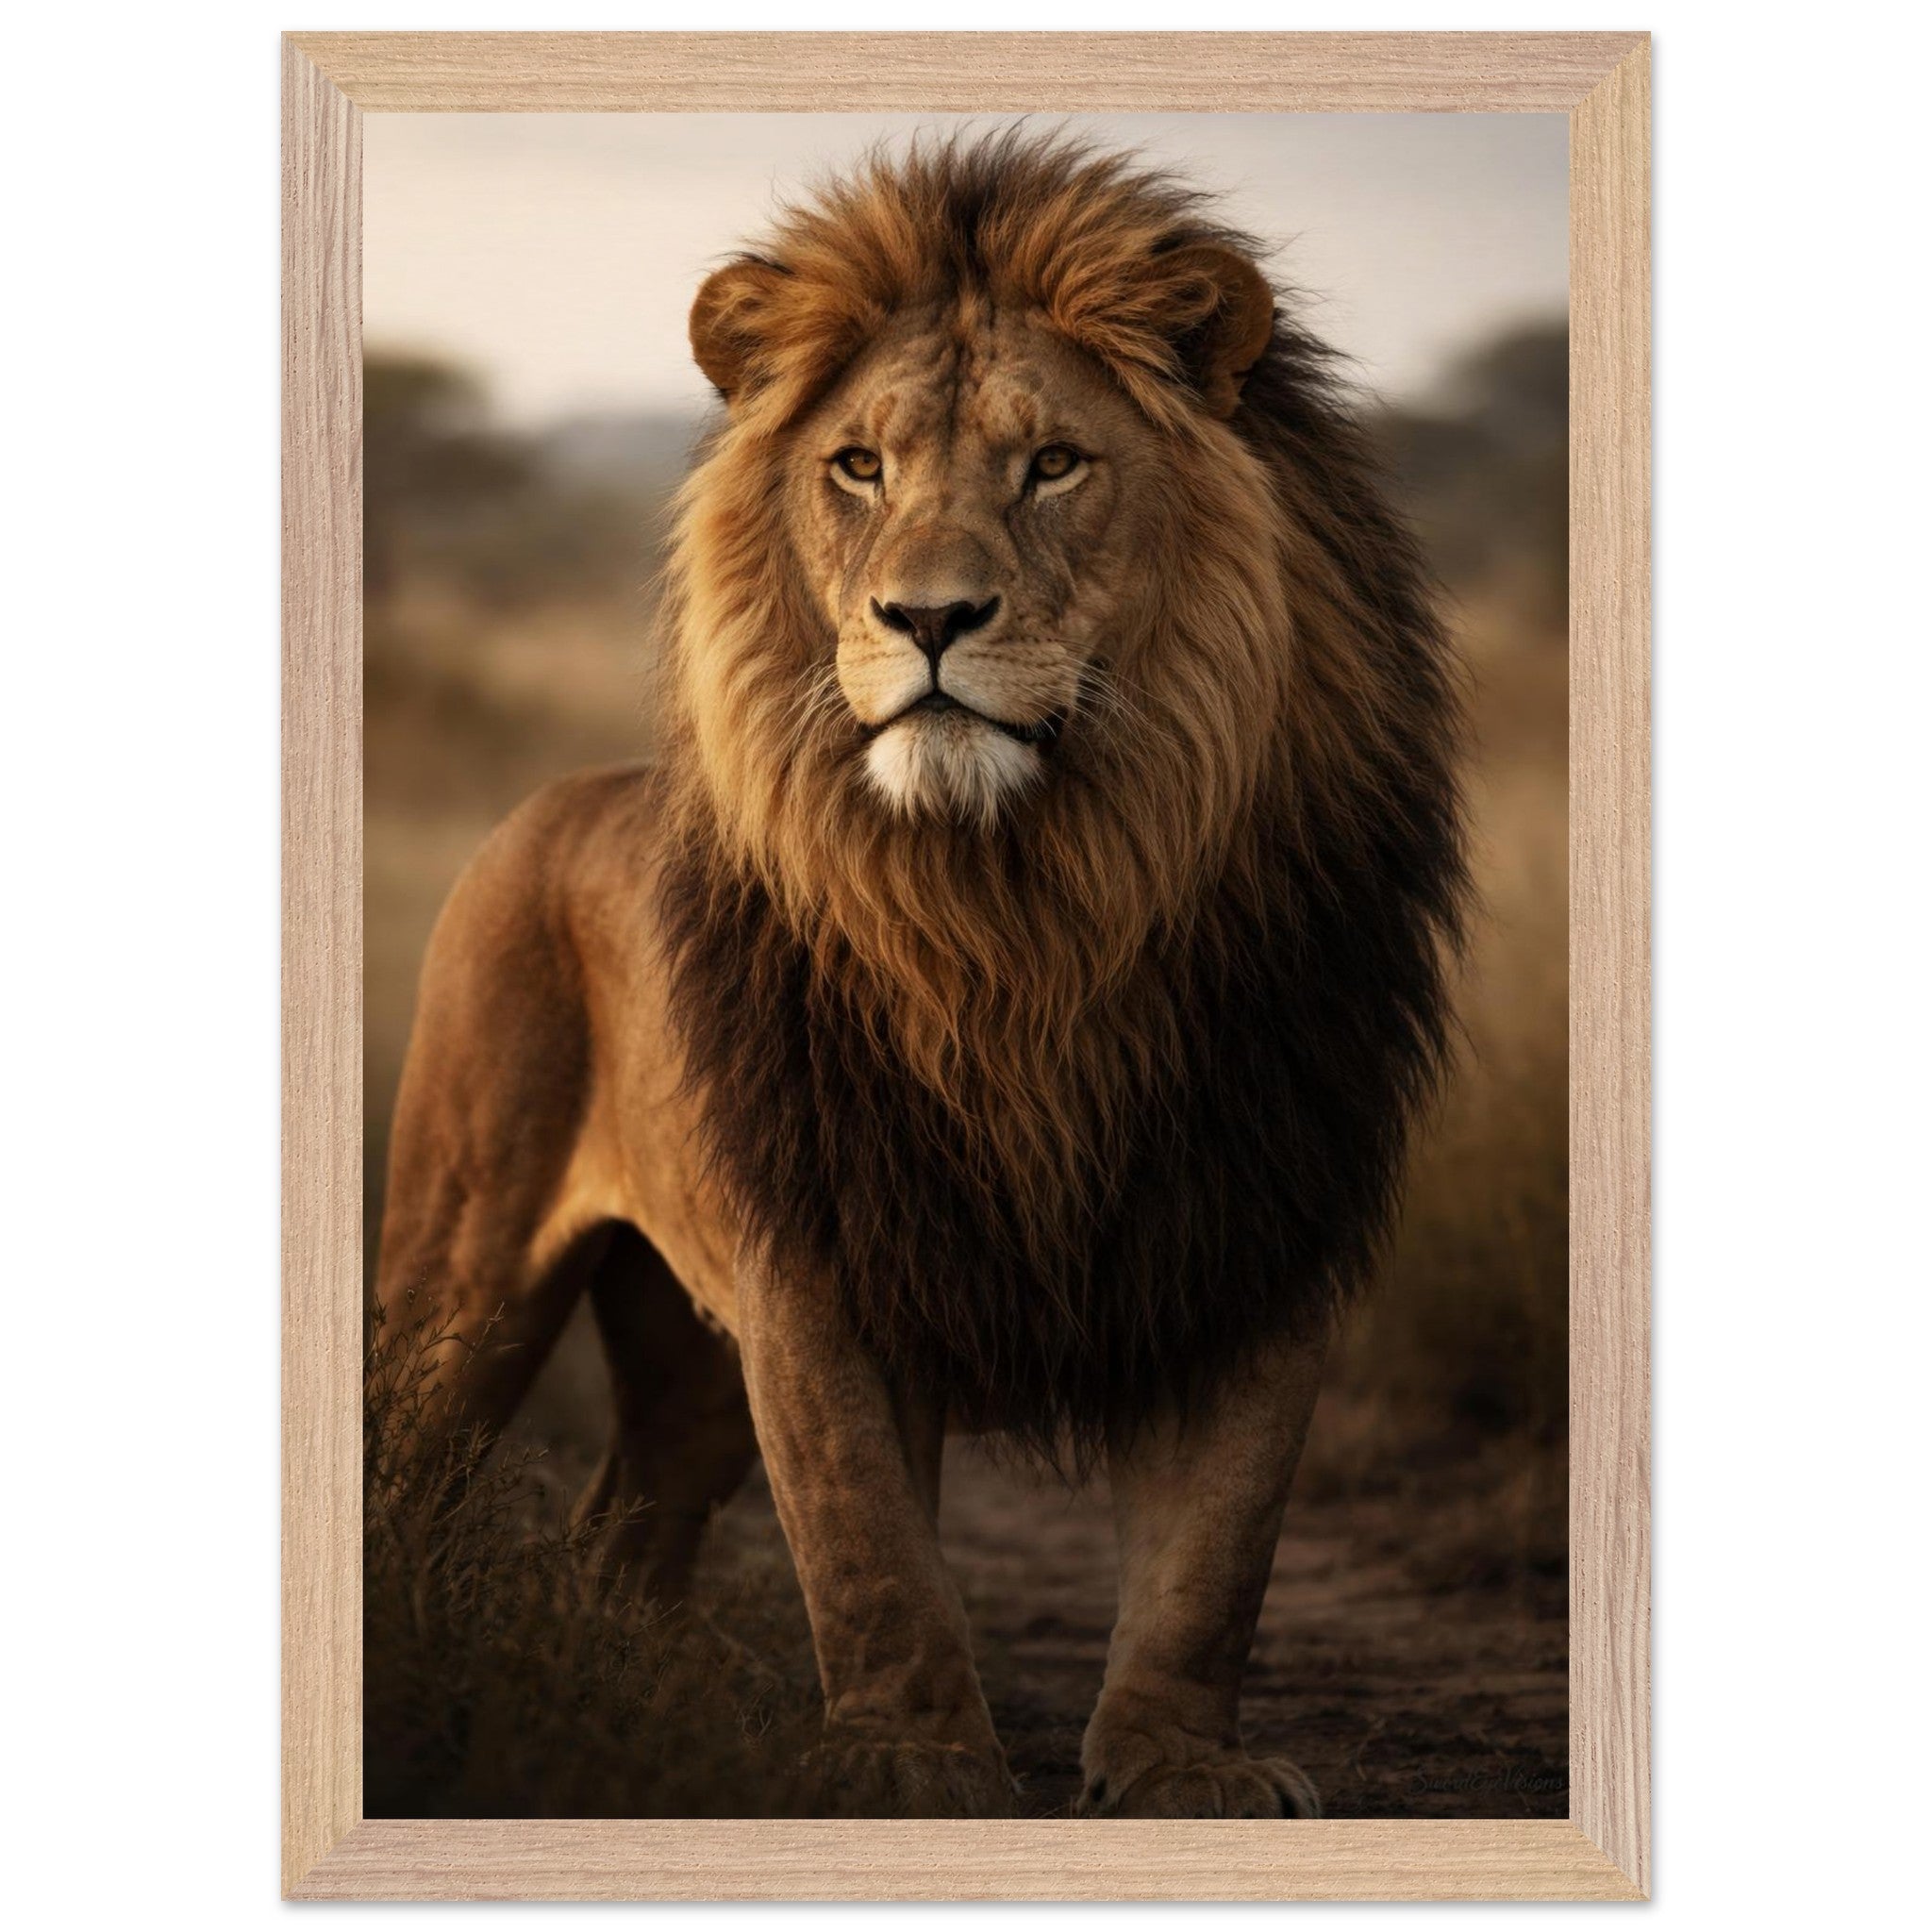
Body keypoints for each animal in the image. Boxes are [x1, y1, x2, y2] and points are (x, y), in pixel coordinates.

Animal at [376, 132, 1467, 1819]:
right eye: (860, 469)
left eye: (1055, 465)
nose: (930, 617)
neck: (1020, 913)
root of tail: (552, 802)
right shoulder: (819, 1248)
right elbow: (866, 1544)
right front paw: (904, 1763)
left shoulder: (1259, 1221)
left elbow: (1217, 1550)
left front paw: (1179, 1769)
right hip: (462, 1269)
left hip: (683, 1351)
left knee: (625, 1527)